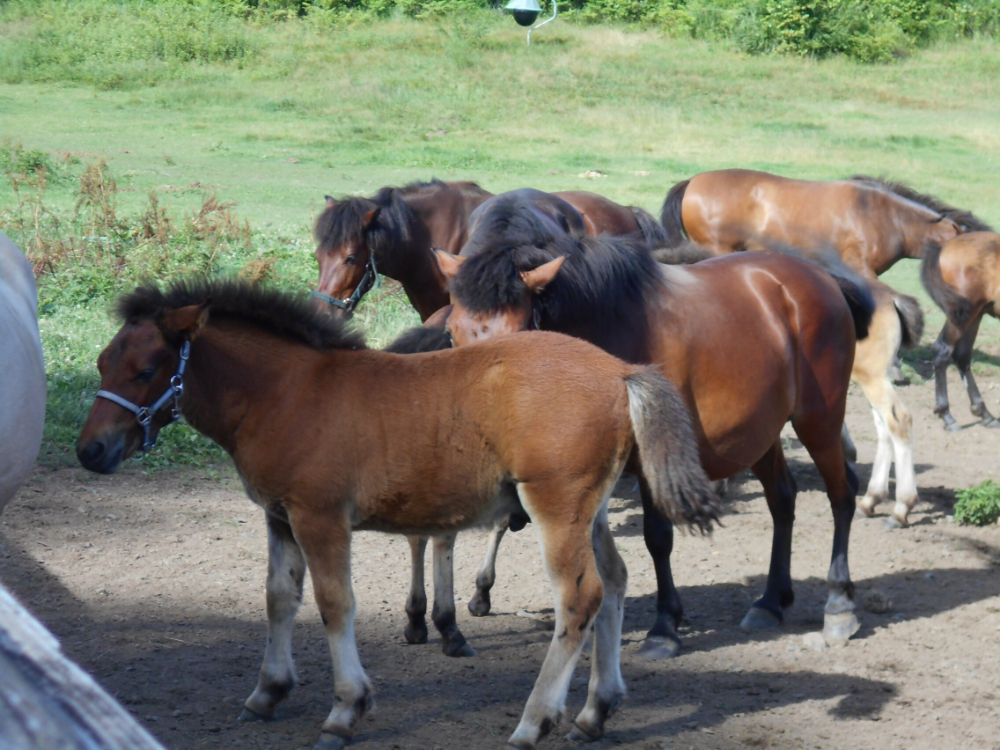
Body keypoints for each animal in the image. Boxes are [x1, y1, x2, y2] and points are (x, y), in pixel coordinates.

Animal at [75, 278, 718, 750]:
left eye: (146, 370)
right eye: (102, 362)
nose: (90, 451)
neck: (287, 394)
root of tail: (620, 370)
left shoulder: (319, 517)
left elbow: (335, 605)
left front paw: (344, 711)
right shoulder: (279, 517)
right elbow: (279, 598)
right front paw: (268, 693)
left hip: (556, 507)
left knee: (580, 597)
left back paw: (534, 722)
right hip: (593, 510)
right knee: (614, 583)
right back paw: (594, 712)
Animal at [424, 196, 873, 656]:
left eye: (519, 335)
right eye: (452, 335)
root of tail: (821, 278)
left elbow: (657, 537)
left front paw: (664, 627)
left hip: (818, 418)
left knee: (842, 495)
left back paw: (839, 605)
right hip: (761, 431)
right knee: (782, 499)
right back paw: (770, 601)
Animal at [921, 232, 1000, 431]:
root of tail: (943, 246)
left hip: (975, 314)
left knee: (962, 355)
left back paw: (985, 413)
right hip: (963, 315)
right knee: (942, 350)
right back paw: (947, 415)